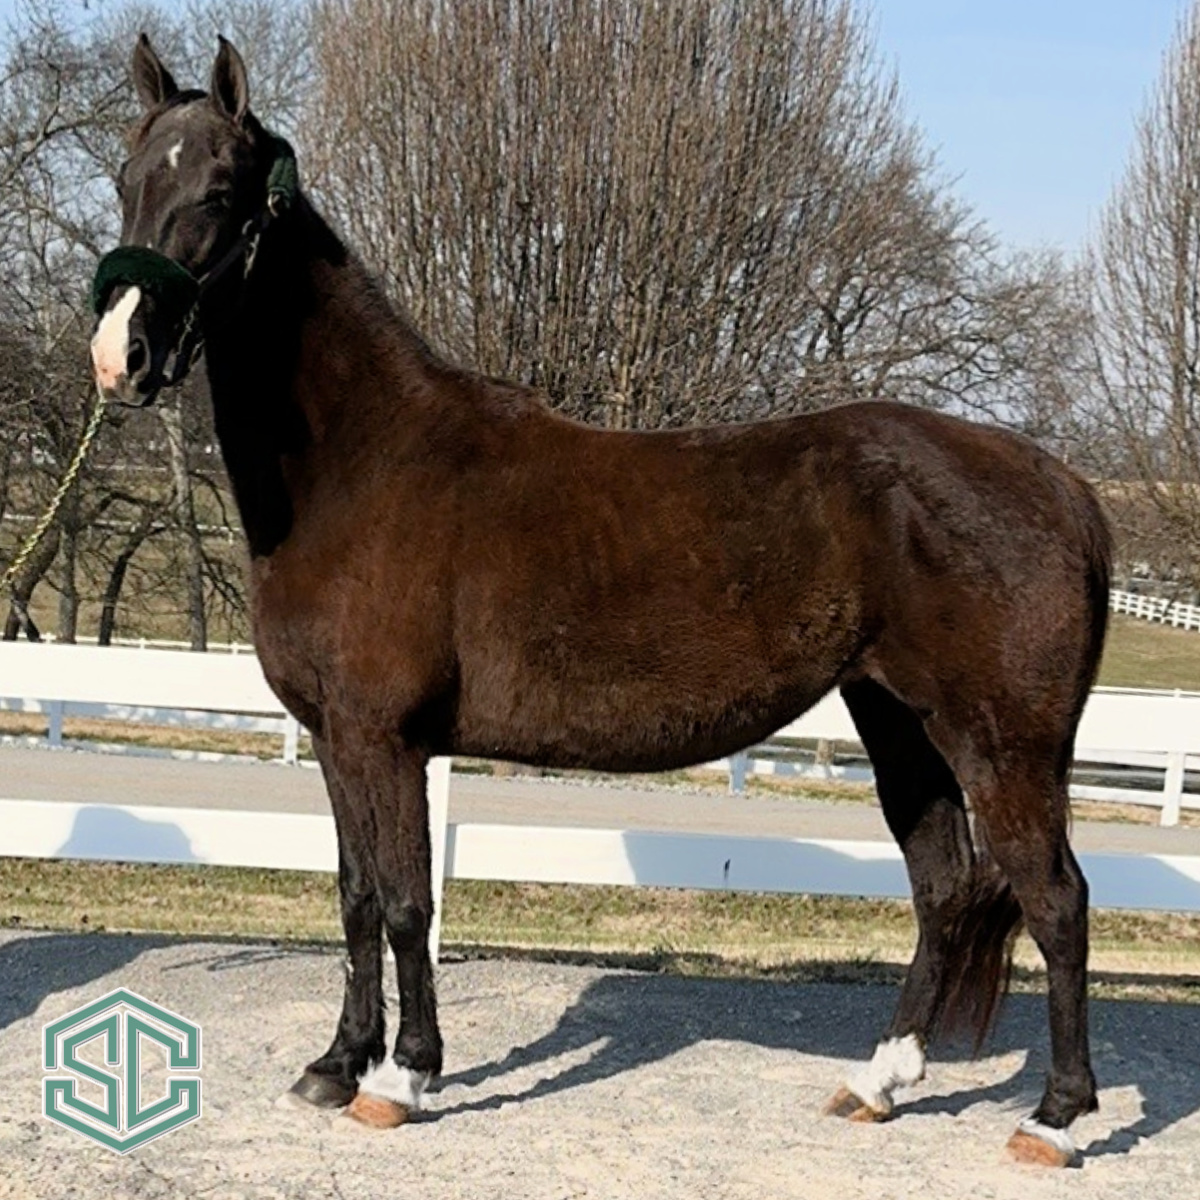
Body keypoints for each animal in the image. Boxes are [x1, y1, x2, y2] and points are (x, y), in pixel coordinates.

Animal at [90, 35, 1110, 1167]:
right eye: (127, 180)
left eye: (219, 192)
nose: (119, 357)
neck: (365, 463)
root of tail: (1061, 484)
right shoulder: (338, 741)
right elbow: (355, 899)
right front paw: (333, 1065)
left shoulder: (383, 741)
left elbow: (403, 902)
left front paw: (404, 1078)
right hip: (898, 722)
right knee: (945, 885)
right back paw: (877, 1084)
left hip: (1005, 746)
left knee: (1056, 900)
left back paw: (1057, 1120)